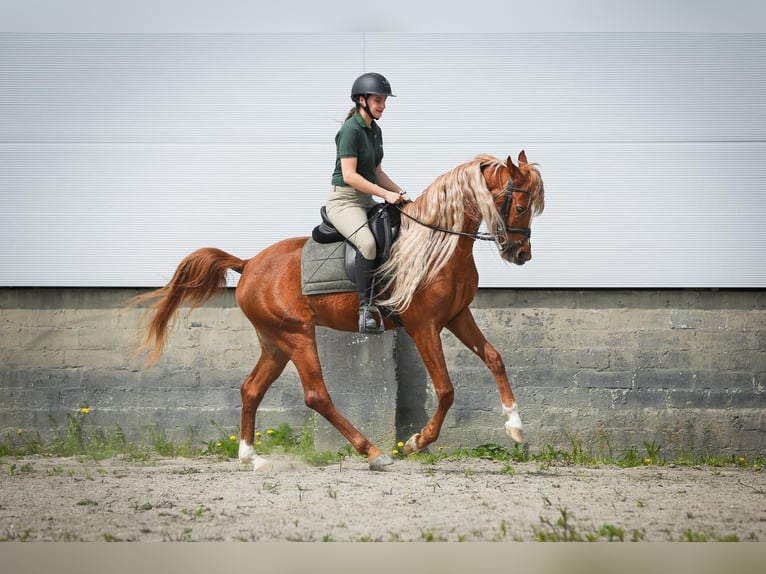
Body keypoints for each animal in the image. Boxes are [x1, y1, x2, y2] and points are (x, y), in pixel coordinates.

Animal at [135, 151, 548, 470]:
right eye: (521, 206)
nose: (521, 255)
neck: (437, 243)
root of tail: (249, 263)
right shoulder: (424, 326)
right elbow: (445, 390)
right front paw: (417, 441)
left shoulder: (457, 316)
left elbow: (495, 358)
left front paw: (515, 425)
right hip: (297, 335)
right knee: (316, 395)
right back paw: (375, 453)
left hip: (275, 342)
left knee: (251, 389)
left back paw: (252, 458)